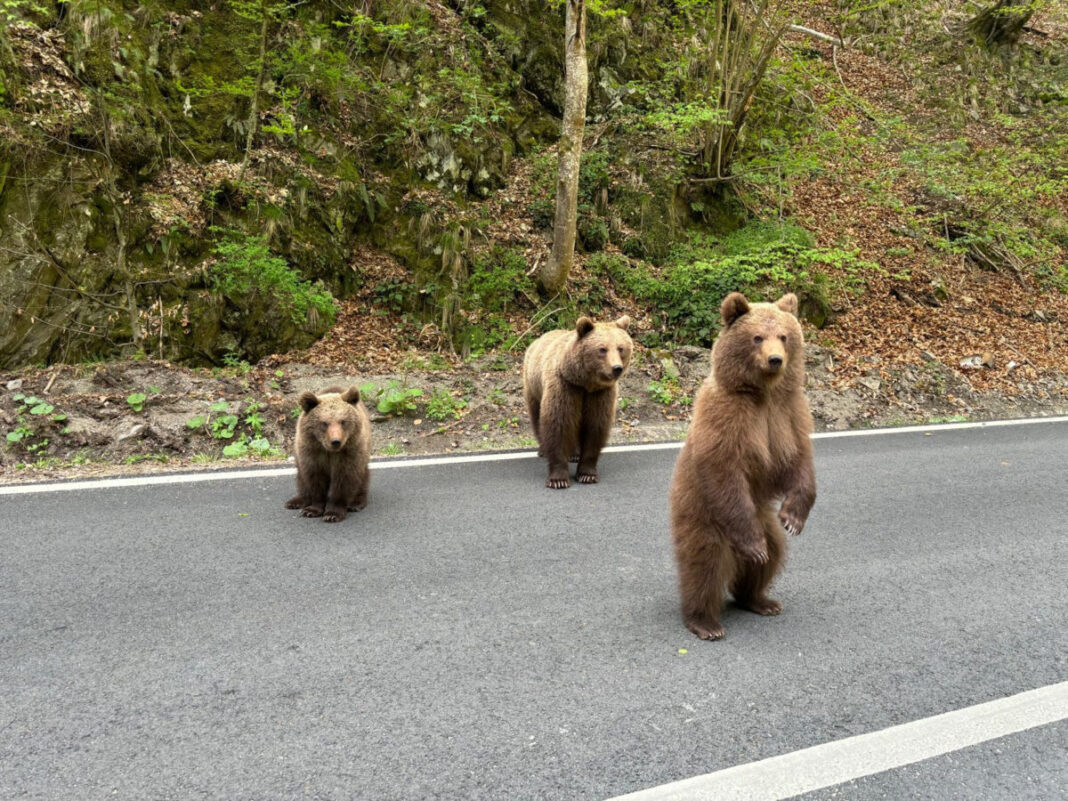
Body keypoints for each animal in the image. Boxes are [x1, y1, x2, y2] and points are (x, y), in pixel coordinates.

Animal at [284, 386, 371, 523]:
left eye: (343, 421)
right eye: (324, 423)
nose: (336, 441)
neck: (329, 451)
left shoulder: (348, 454)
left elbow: (343, 481)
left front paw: (332, 513)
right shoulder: (312, 453)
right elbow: (315, 479)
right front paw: (312, 510)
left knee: (362, 477)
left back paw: (356, 503)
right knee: (301, 478)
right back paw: (296, 501)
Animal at [525, 316, 632, 493]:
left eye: (620, 348)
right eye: (602, 349)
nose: (616, 368)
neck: (585, 383)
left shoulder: (599, 394)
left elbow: (595, 427)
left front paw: (587, 475)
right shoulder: (565, 386)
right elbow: (558, 425)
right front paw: (558, 479)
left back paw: (574, 454)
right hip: (533, 386)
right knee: (536, 416)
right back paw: (543, 450)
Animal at [666, 292, 815, 645]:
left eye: (784, 336)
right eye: (757, 337)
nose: (775, 360)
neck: (763, 393)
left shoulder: (788, 414)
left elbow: (800, 461)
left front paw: (793, 518)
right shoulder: (727, 417)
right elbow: (723, 469)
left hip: (763, 519)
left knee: (772, 555)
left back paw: (760, 600)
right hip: (703, 514)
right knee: (704, 564)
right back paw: (705, 622)